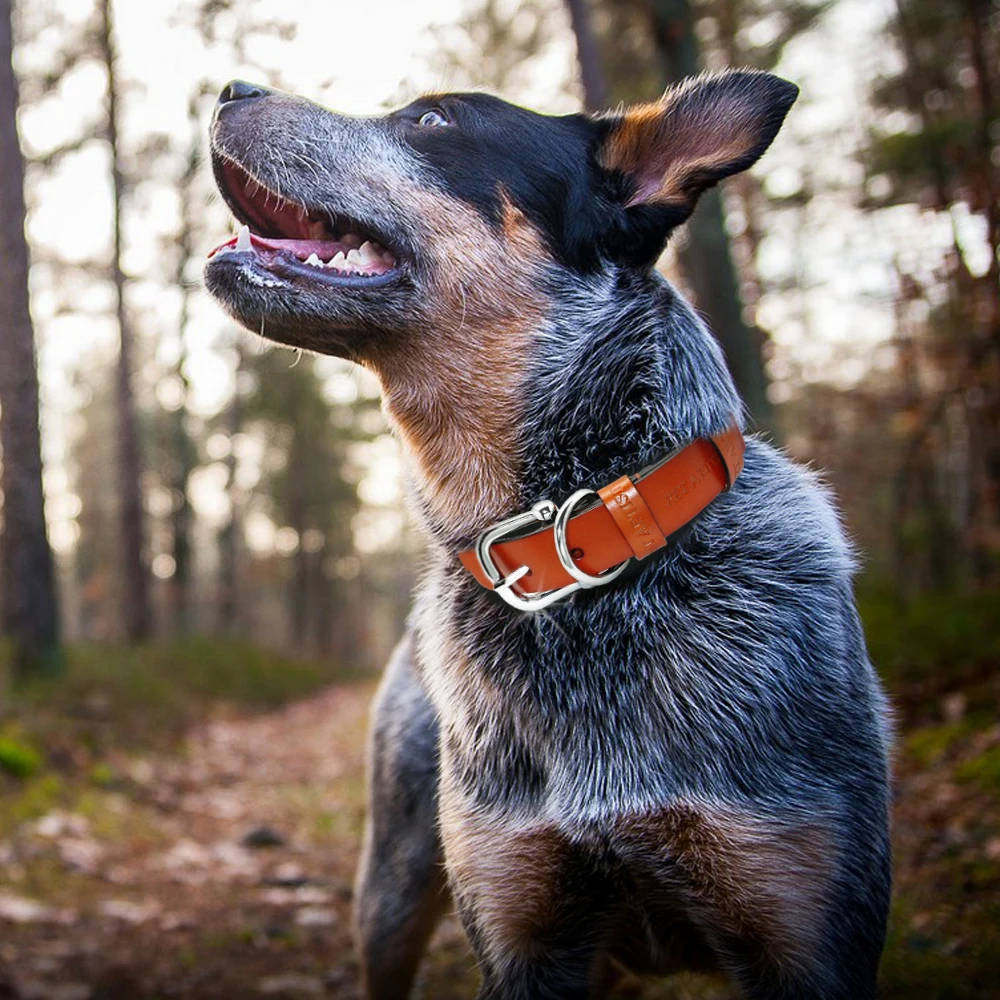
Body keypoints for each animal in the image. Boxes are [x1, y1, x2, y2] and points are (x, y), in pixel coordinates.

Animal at [203, 72, 892, 1000]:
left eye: (431, 119)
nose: (230, 86)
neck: (582, 542)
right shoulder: (522, 923)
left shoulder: (804, 925)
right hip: (392, 886)